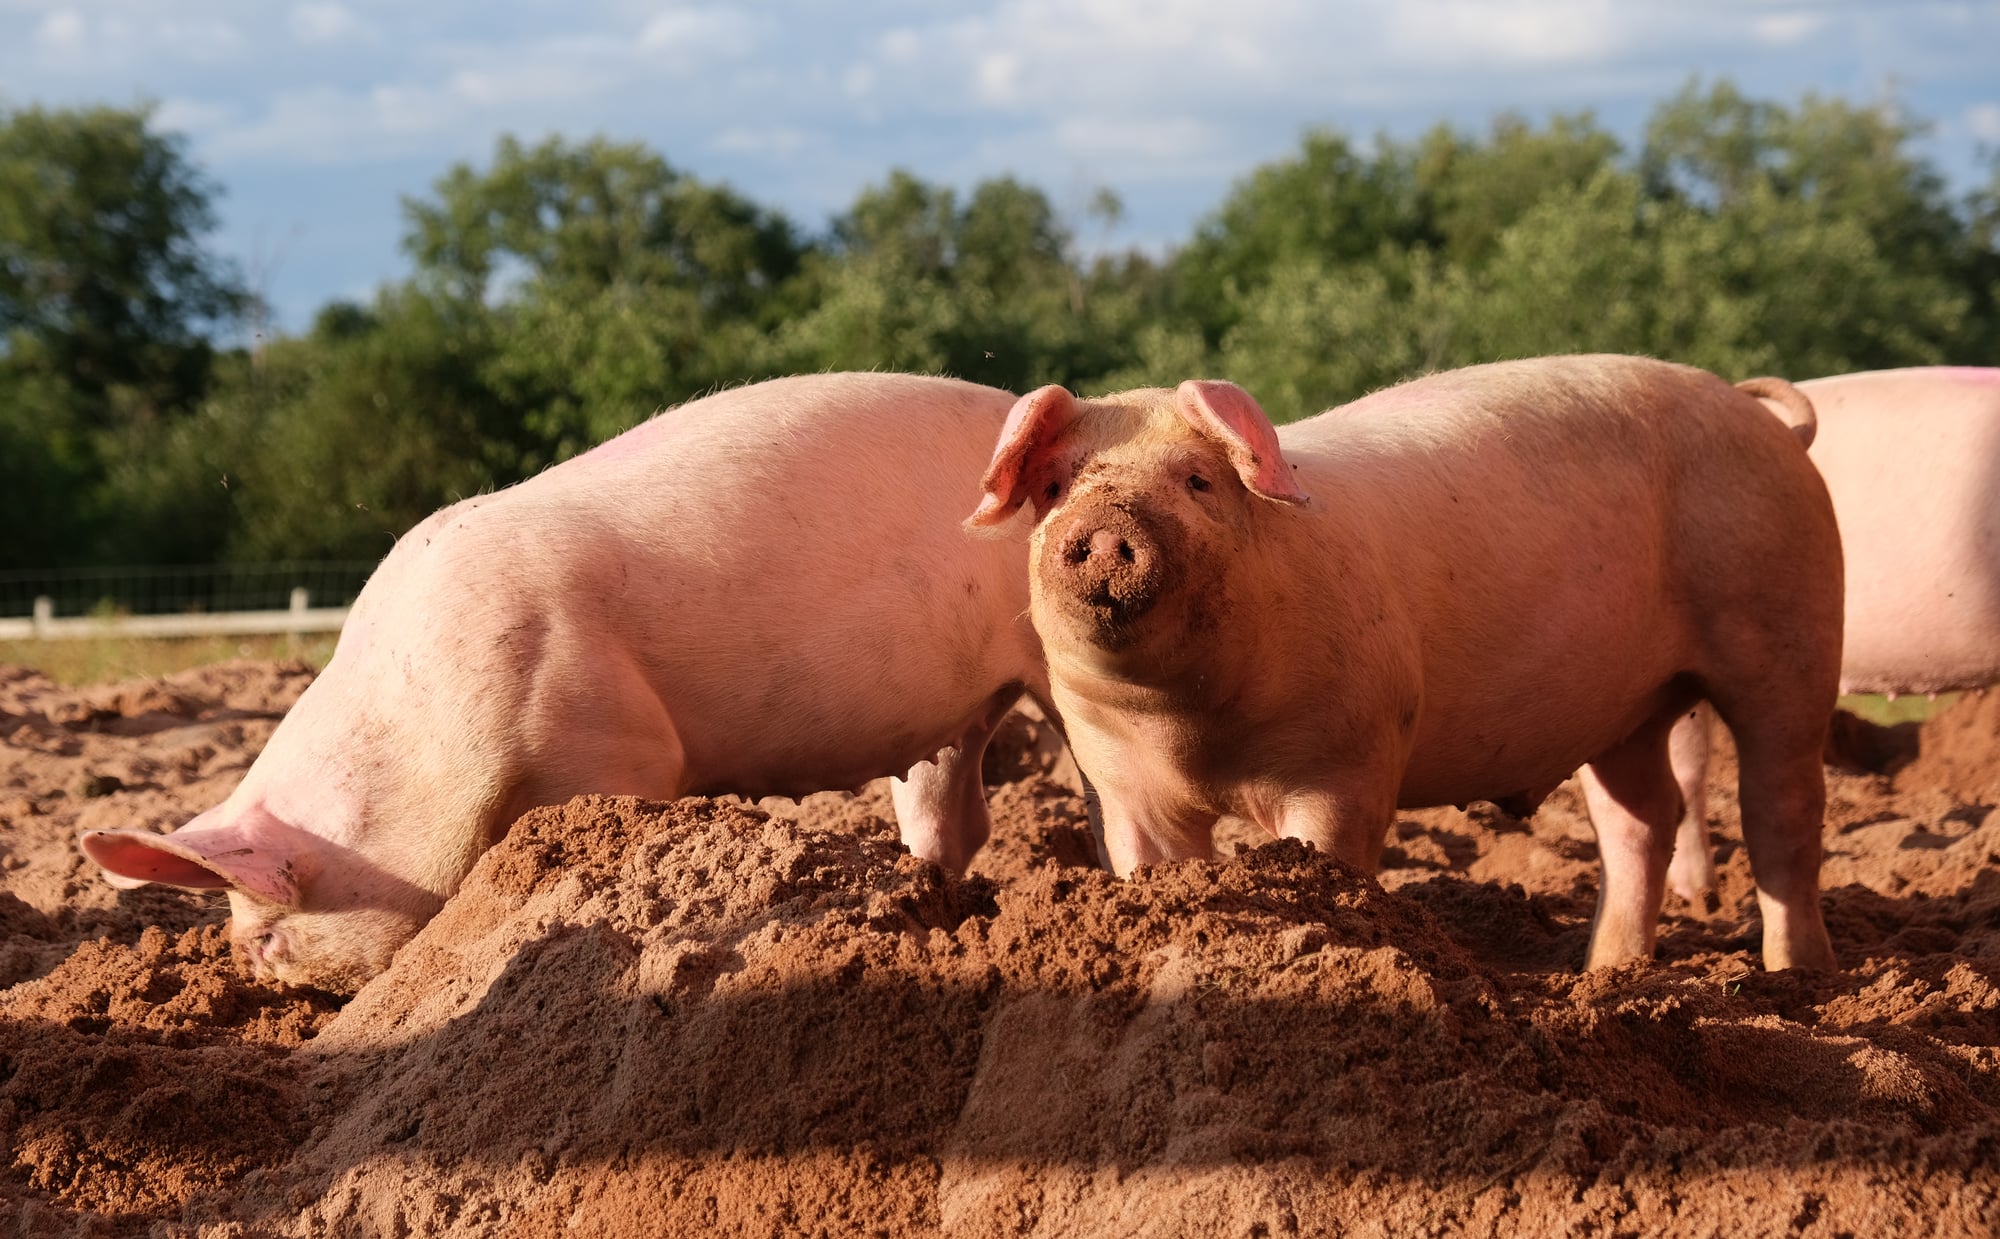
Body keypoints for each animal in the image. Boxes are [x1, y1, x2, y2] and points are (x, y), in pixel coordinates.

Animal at [82, 372, 1050, 992]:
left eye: (269, 935)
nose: (249, 972)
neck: (416, 741)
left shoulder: (611, 745)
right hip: (953, 712)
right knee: (954, 814)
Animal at [968, 355, 1841, 971]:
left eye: (1198, 480)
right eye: (1055, 484)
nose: (1105, 523)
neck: (1190, 729)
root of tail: (1764, 419)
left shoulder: (1348, 758)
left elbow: (1328, 859)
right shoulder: (1117, 776)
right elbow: (1150, 864)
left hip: (1789, 625)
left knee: (1781, 808)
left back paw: (1798, 977)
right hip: (1625, 705)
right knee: (1642, 816)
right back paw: (1604, 970)